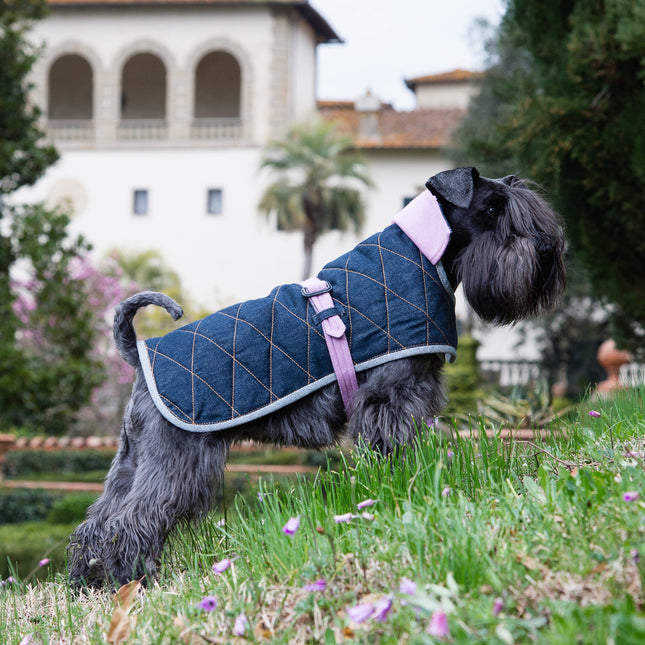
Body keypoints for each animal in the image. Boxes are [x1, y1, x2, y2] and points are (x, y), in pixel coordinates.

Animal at [69, 167, 564, 588]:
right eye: (493, 207)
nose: (546, 250)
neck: (428, 253)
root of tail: (139, 354)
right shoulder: (391, 399)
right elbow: (391, 448)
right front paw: (398, 486)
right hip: (177, 460)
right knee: (131, 521)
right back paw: (133, 579)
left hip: (134, 458)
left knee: (97, 522)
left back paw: (87, 582)